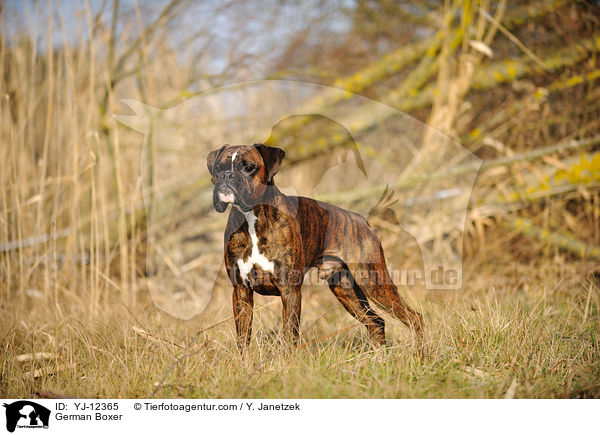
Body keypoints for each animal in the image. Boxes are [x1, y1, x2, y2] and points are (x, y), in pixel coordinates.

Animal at [209, 145, 424, 350]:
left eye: (248, 168)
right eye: (218, 168)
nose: (227, 176)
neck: (251, 218)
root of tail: (362, 220)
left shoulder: (290, 290)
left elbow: (290, 336)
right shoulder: (241, 292)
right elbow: (243, 339)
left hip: (374, 282)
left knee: (414, 318)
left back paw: (420, 355)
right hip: (346, 290)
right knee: (376, 322)